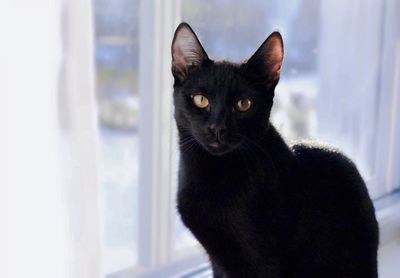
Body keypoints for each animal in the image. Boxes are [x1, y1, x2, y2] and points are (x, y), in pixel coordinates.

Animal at [171, 23, 378, 278]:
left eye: (243, 104)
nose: (218, 127)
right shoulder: (219, 263)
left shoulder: (266, 263)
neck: (214, 173)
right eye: (200, 100)